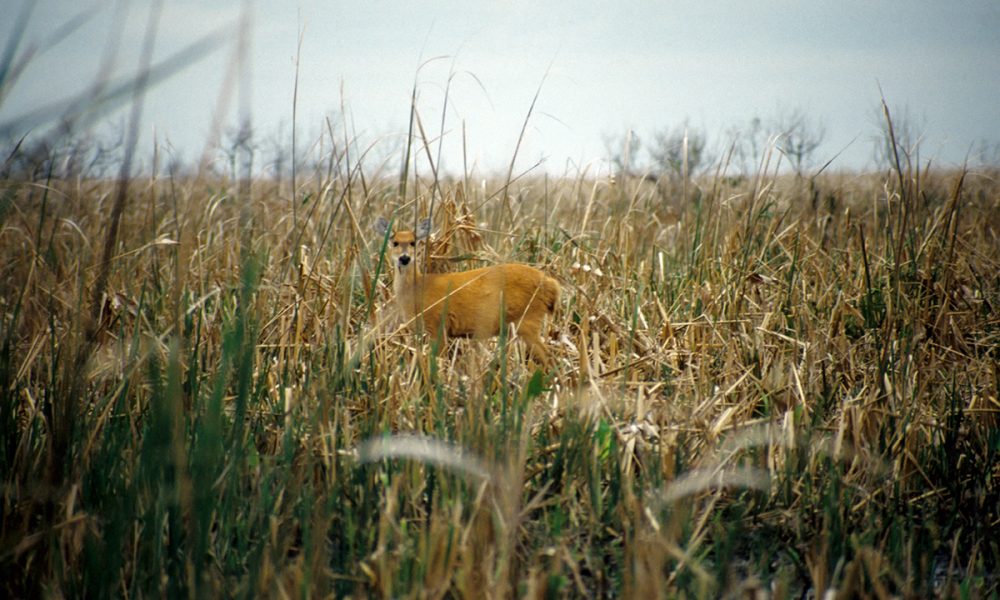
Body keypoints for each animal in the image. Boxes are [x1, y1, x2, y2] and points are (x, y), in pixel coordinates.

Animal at [375, 217, 560, 365]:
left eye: (413, 242)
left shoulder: (437, 323)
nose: (404, 258)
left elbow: (440, 360)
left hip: (528, 318)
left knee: (549, 358)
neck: (417, 288)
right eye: (394, 242)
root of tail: (551, 284)